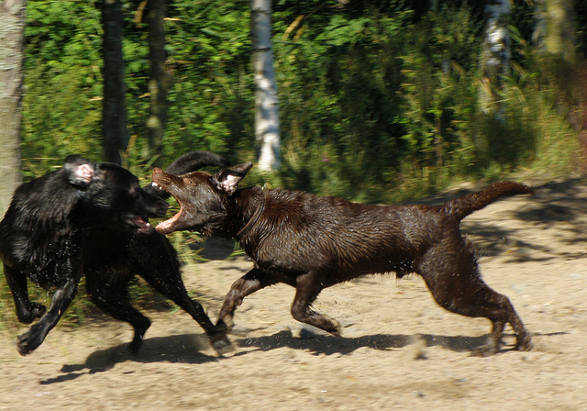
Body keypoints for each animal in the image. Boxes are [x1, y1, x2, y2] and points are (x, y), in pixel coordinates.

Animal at [0, 153, 230, 356]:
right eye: (134, 189)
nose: (164, 204)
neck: (52, 225)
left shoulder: (68, 283)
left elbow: (53, 316)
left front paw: (31, 340)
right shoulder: (11, 265)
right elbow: (22, 308)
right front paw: (35, 310)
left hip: (162, 276)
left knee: (194, 307)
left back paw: (218, 340)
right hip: (104, 293)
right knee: (143, 320)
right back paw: (133, 348)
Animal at [154, 163, 536, 356]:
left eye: (185, 180)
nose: (157, 170)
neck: (254, 215)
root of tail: (447, 210)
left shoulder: (314, 274)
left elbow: (297, 309)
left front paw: (332, 326)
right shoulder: (267, 271)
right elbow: (235, 288)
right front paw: (224, 327)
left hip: (449, 285)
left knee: (501, 302)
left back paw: (510, 344)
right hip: (456, 280)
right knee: (499, 302)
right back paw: (503, 344)